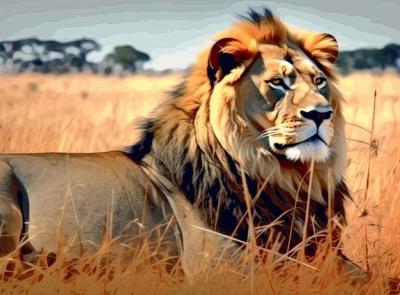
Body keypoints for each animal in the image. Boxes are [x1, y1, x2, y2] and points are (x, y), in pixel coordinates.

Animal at [0, 8, 376, 282]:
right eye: (277, 83)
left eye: (319, 81)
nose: (322, 114)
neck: (285, 177)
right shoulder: (218, 267)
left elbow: (371, 277)